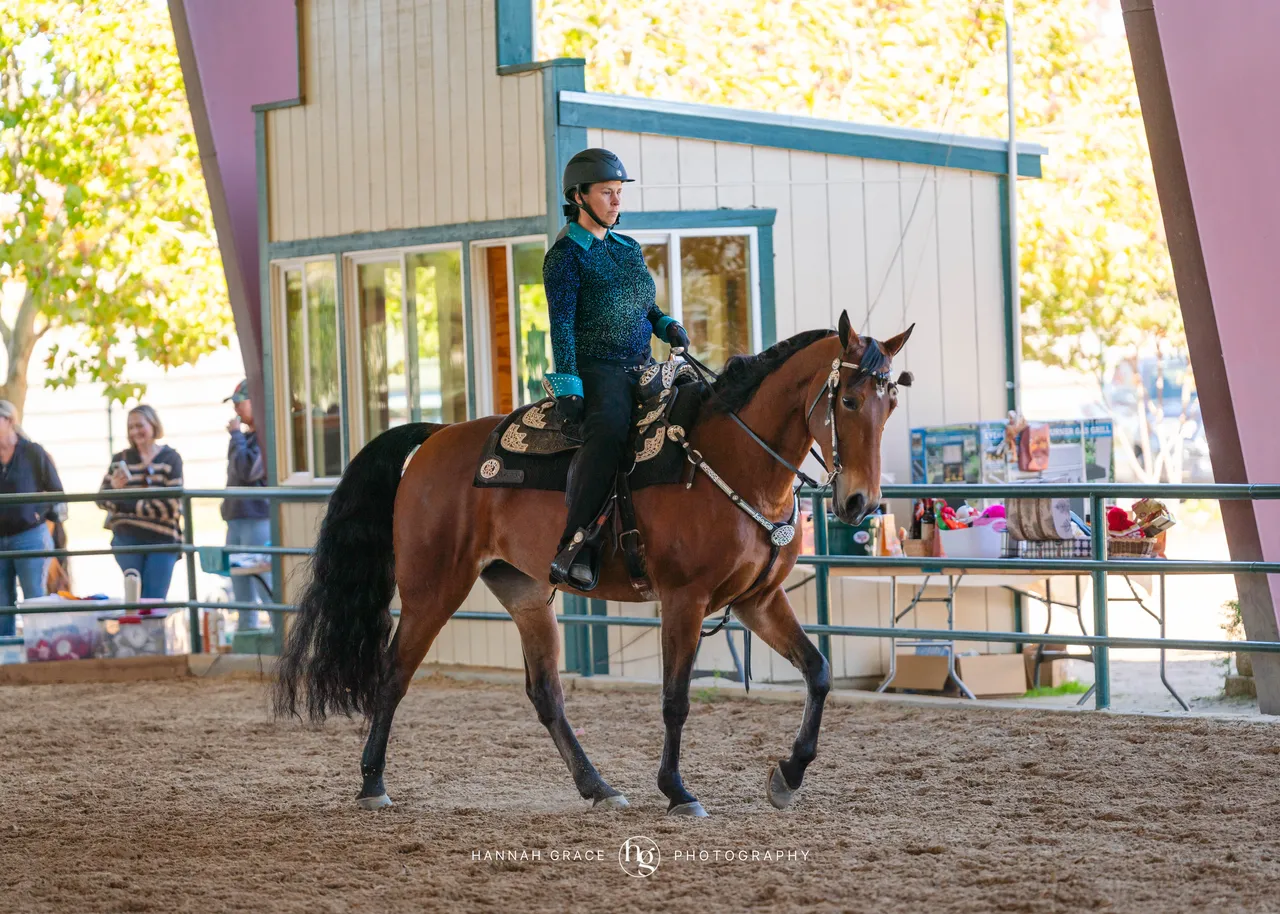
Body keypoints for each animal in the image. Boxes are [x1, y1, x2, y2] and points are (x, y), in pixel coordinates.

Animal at [274, 310, 912, 817]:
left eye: (890, 404)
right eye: (848, 400)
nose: (861, 503)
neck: (734, 461)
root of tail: (435, 436)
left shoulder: (757, 601)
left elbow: (819, 672)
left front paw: (788, 774)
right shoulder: (684, 600)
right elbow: (675, 699)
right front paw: (678, 791)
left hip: (525, 592)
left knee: (545, 694)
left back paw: (598, 787)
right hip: (434, 588)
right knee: (394, 674)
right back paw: (372, 784)